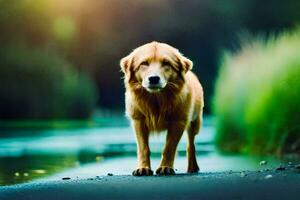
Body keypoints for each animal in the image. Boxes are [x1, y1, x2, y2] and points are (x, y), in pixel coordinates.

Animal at [119, 41, 204, 176]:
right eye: (144, 63)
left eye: (166, 63)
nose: (154, 78)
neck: (156, 100)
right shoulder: (138, 120)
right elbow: (143, 148)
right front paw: (143, 168)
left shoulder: (179, 121)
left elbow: (169, 147)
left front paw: (165, 167)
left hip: (195, 122)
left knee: (191, 144)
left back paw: (192, 167)